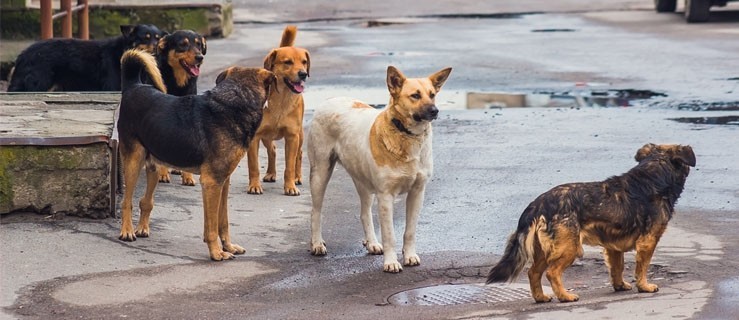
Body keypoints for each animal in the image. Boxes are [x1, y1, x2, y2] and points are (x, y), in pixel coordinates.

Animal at [9, 24, 165, 92]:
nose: (156, 48)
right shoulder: (112, 87)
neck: (122, 51)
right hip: (39, 84)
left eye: (158, 38)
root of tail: (23, 55)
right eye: (145, 38)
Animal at [117, 49, 276, 260]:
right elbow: (211, 226)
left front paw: (228, 246)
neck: (235, 101)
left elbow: (223, 221)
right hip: (133, 161)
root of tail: (133, 86)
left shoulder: (223, 182)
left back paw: (142, 228)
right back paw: (127, 231)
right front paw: (216, 252)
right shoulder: (211, 183)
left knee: (146, 201)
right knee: (126, 201)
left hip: (154, 165)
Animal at [246, 25, 310, 195]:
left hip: (300, 135)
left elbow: (289, 166)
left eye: (304, 62)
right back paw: (270, 173)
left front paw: (290, 186)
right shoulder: (254, 137)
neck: (281, 100)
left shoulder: (292, 137)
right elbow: (253, 166)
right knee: (272, 150)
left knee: (299, 155)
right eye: (287, 62)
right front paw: (254, 185)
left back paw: (297, 177)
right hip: (266, 136)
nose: (303, 74)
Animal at [304, 65, 450, 272]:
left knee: (364, 213)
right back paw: (317, 243)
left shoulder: (417, 192)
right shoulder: (386, 196)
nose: (435, 111)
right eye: (415, 95)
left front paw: (409, 256)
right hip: (320, 173)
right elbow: (389, 235)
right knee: (316, 211)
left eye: (432, 95)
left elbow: (410, 231)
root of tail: (331, 99)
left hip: (362, 181)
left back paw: (372, 243)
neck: (406, 135)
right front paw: (391, 262)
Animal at [488, 144, 696, 302]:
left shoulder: (613, 246)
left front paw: (619, 285)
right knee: (552, 272)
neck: (654, 174)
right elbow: (642, 267)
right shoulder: (648, 241)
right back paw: (565, 296)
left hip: (544, 250)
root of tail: (538, 203)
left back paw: (541, 297)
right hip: (570, 248)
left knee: (533, 273)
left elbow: (617, 267)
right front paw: (644, 286)